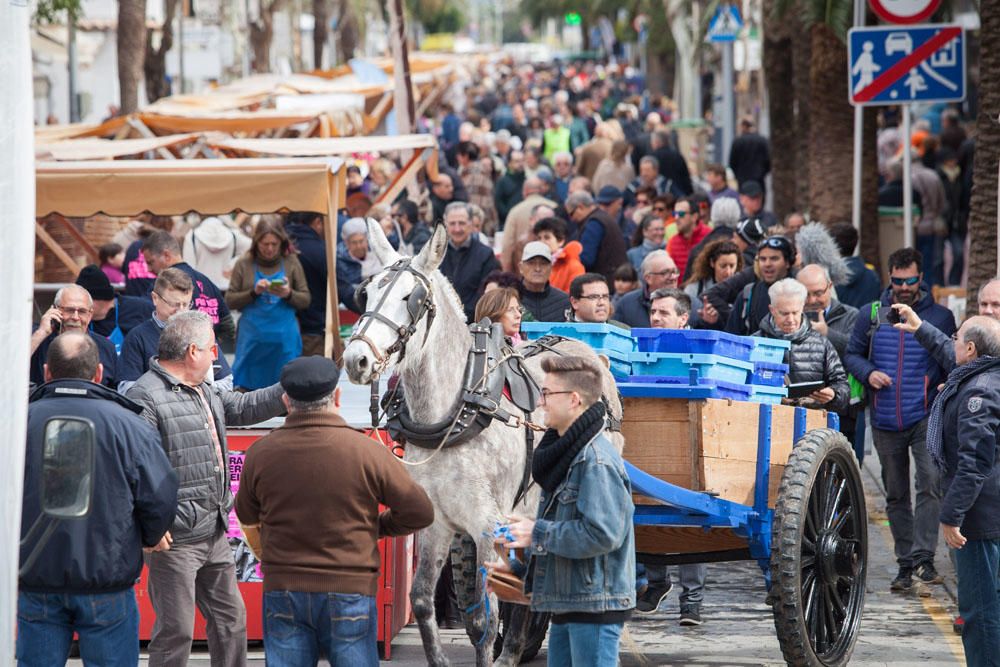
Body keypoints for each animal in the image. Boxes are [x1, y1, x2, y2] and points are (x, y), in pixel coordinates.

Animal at [346, 222, 624, 664]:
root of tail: (587, 349)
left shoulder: (486, 524)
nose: (356, 359)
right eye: (367, 293)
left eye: (412, 298)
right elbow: (422, 600)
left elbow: (483, 619)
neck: (456, 407)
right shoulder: (437, 520)